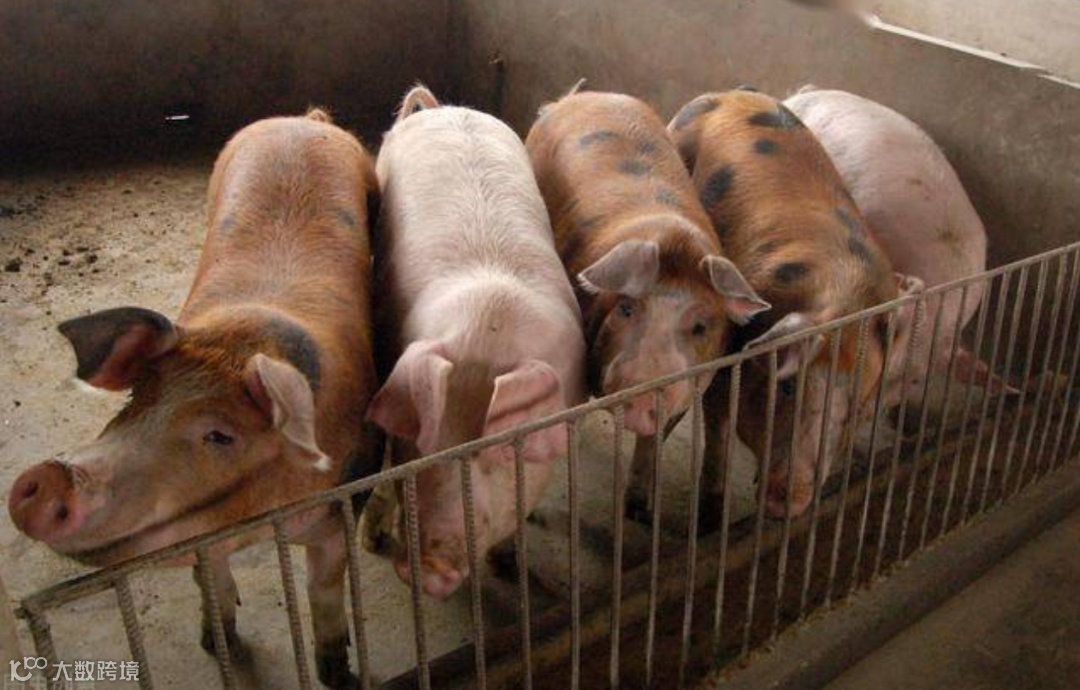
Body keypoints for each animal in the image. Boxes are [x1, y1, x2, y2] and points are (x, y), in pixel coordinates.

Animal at [7, 110, 380, 688]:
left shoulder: (347, 496)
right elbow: (212, 579)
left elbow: (324, 589)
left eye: (220, 435)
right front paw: (216, 643)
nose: (46, 477)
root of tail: (303, 119)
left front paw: (342, 676)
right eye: (136, 398)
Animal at [363, 86, 586, 599]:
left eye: (500, 450)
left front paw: (508, 566)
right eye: (420, 442)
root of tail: (446, 109)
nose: (426, 566)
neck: (489, 333)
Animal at [525, 89, 769, 525]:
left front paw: (638, 511)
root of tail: (580, 96)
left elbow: (653, 445)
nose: (643, 393)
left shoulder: (689, 389)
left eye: (701, 326)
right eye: (626, 309)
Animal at [669, 89, 923, 519]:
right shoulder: (727, 354)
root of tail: (730, 93)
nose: (789, 497)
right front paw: (711, 515)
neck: (844, 301)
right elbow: (719, 431)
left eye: (852, 406)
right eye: (788, 387)